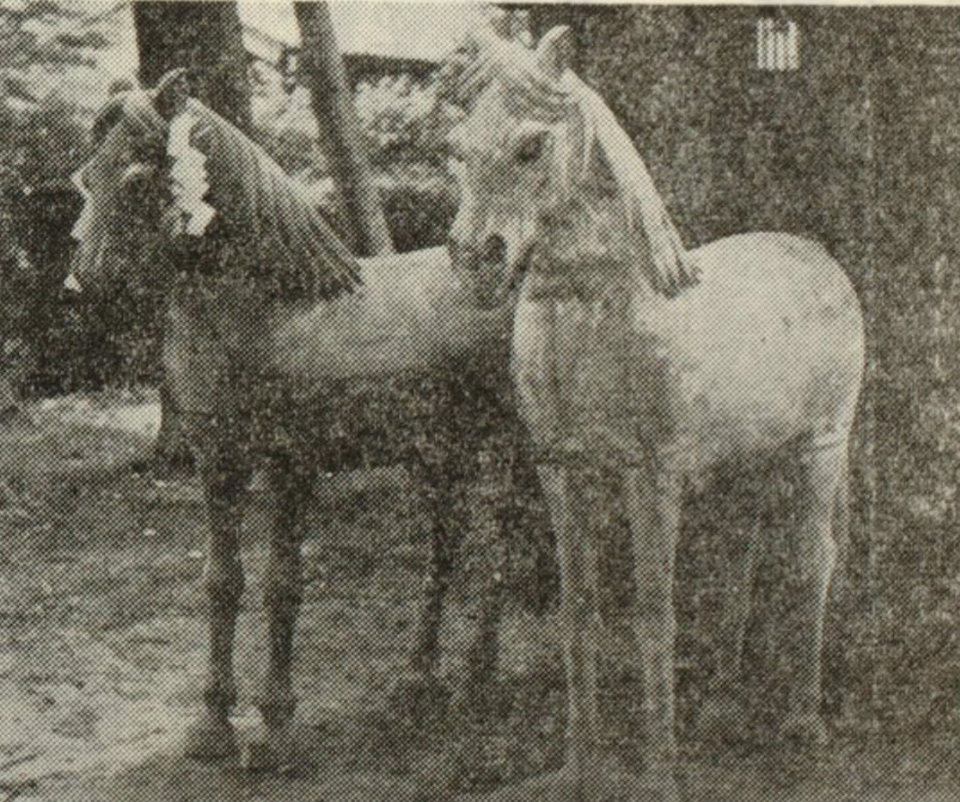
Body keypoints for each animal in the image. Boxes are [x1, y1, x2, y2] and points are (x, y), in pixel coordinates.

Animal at [67, 69, 547, 770]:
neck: (270, 311)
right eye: (85, 176)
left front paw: (276, 731)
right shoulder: (219, 463)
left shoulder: (293, 465)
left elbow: (282, 585)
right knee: (445, 545)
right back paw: (418, 680)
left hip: (504, 444)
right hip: (436, 453)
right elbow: (222, 583)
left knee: (502, 538)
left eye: (133, 178)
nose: (82, 283)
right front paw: (212, 726)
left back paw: (478, 680)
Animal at [442, 24, 865, 801]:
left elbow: (652, 614)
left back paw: (804, 720)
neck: (600, 316)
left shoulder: (652, 477)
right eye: (456, 148)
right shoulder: (563, 475)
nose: (476, 260)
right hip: (749, 462)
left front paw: (660, 772)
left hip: (821, 447)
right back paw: (727, 702)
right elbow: (580, 610)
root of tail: (817, 256)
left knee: (810, 560)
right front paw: (579, 767)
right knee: (741, 559)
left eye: (532, 146)